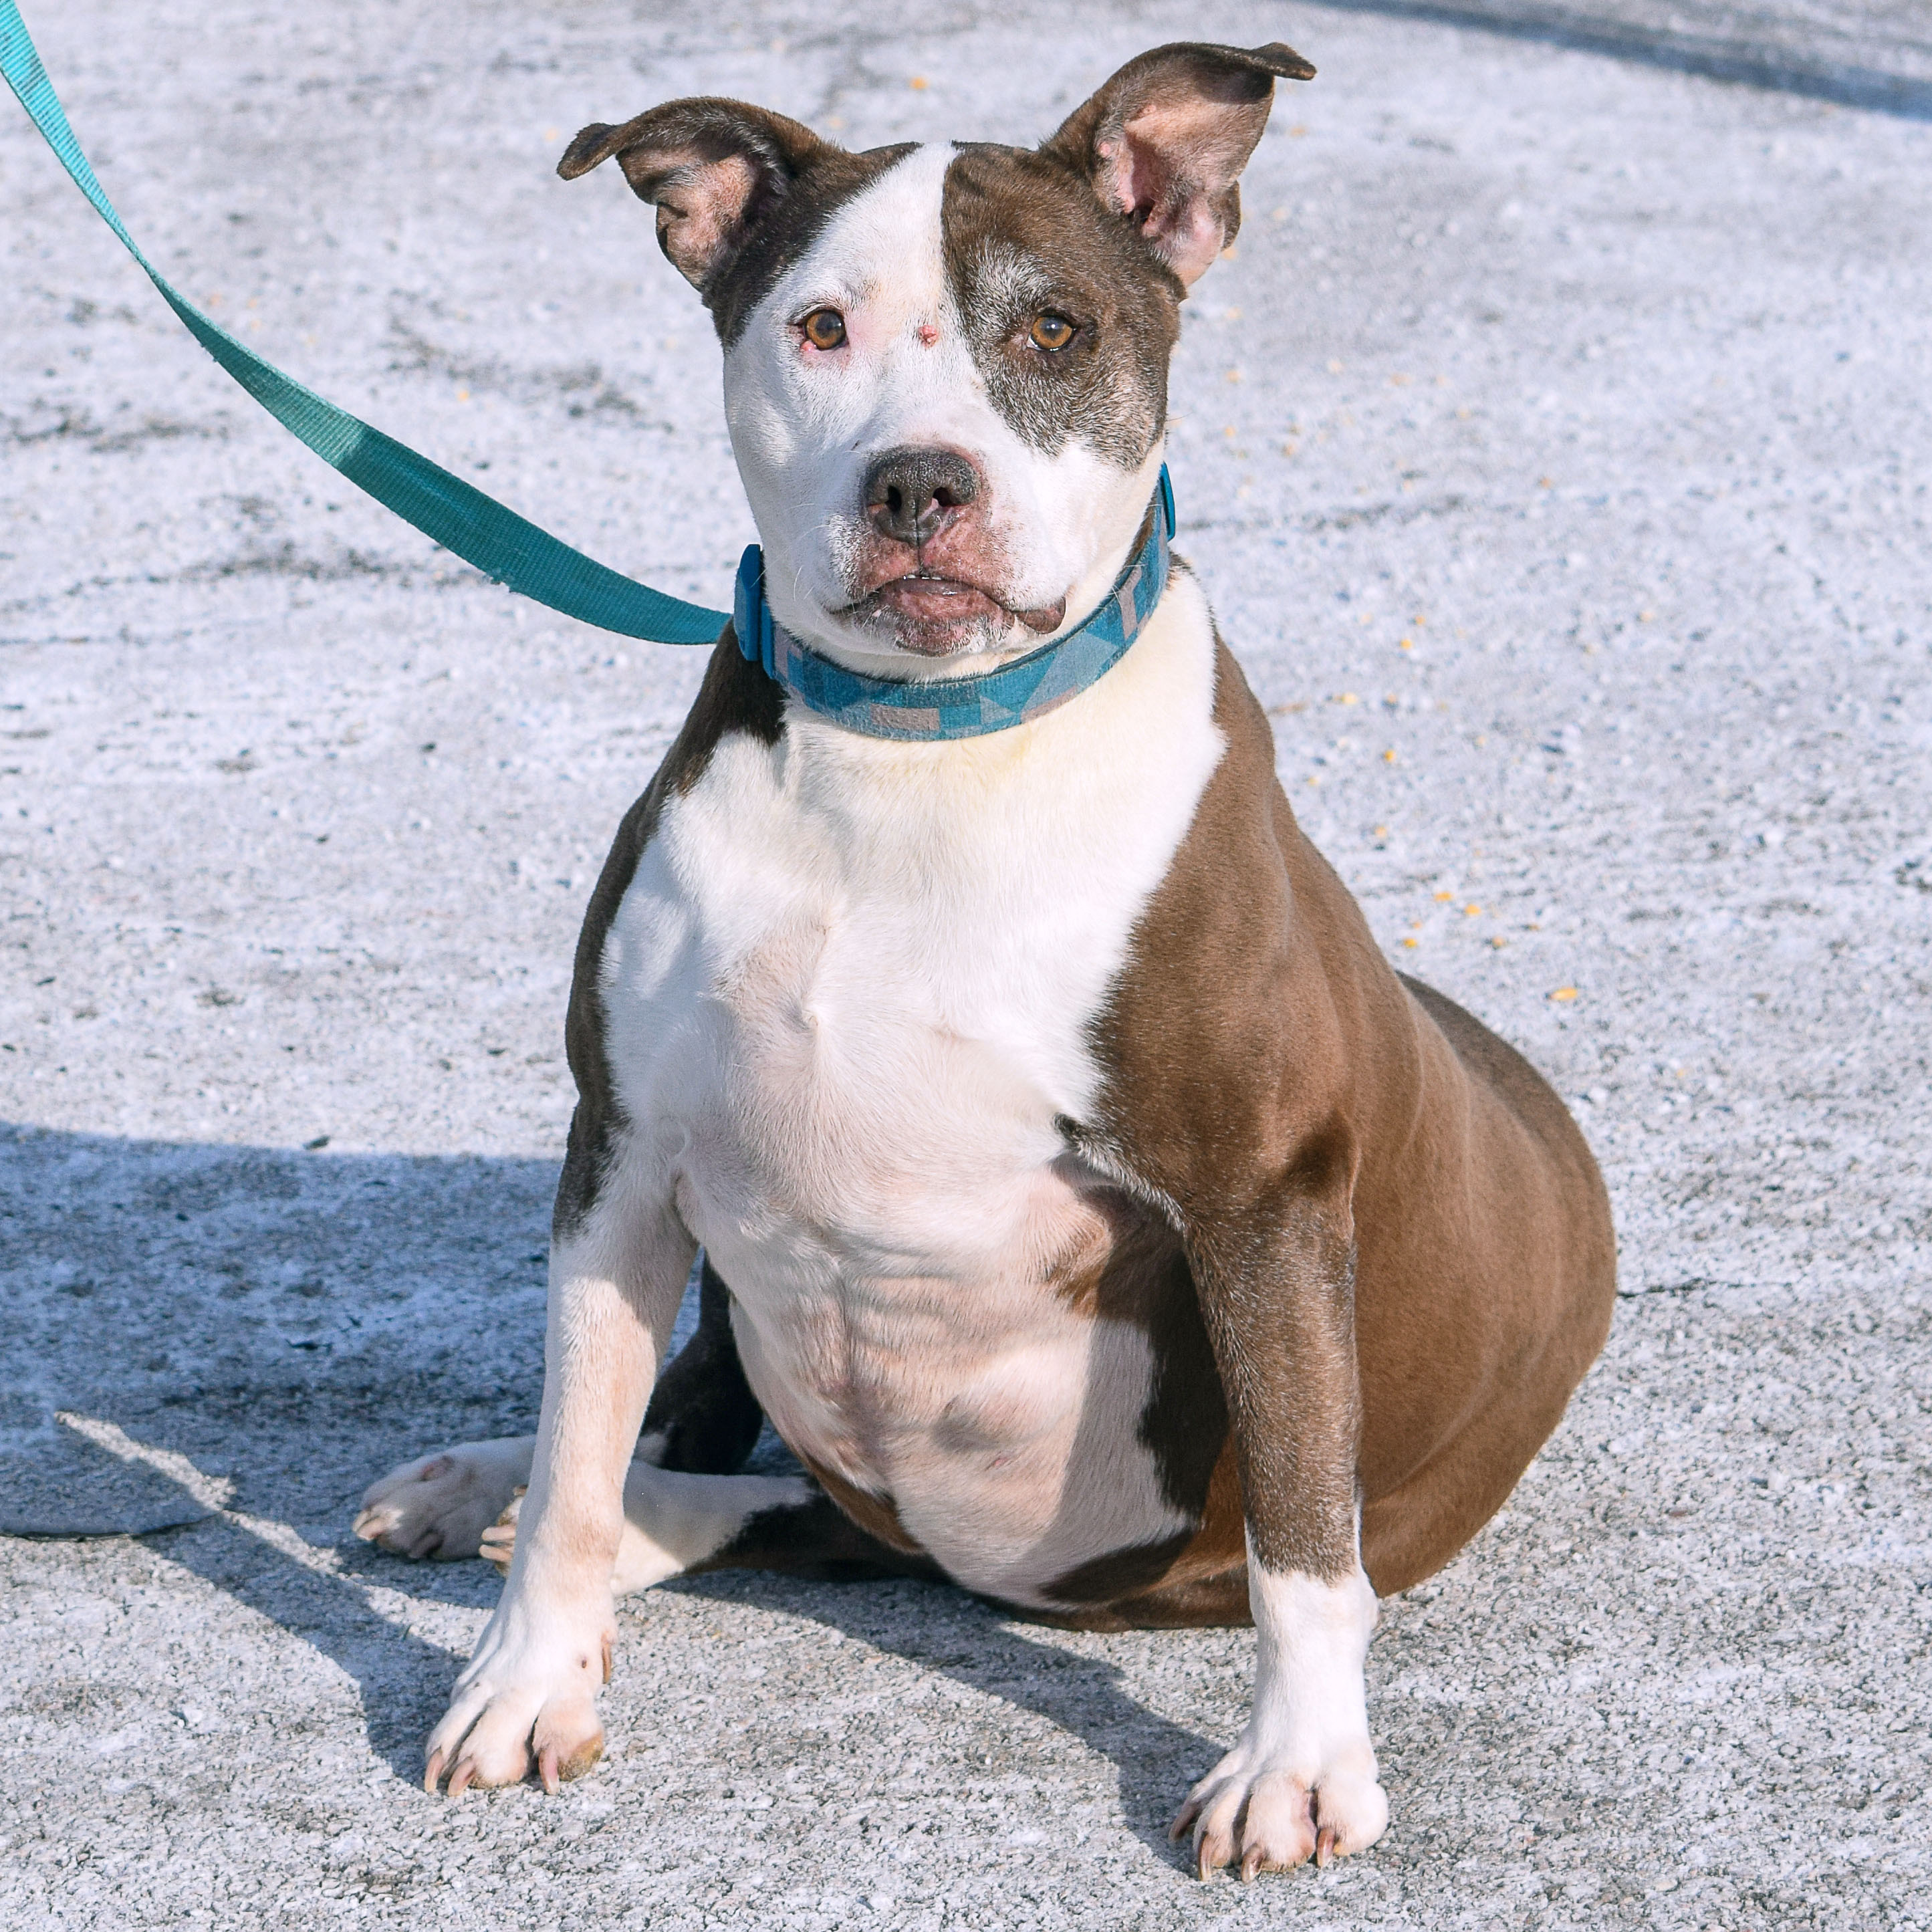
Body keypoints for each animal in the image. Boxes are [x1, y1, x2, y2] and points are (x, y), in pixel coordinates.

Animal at [351, 45, 1615, 1878]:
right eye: (818, 327)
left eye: (1055, 330)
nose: (917, 484)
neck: (923, 753)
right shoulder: (626, 1151)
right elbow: (585, 1439)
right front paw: (527, 1675)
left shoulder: (1262, 1196)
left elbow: (1303, 1530)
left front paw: (1300, 1762)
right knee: (713, 1448)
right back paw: (487, 1482)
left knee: (818, 1514)